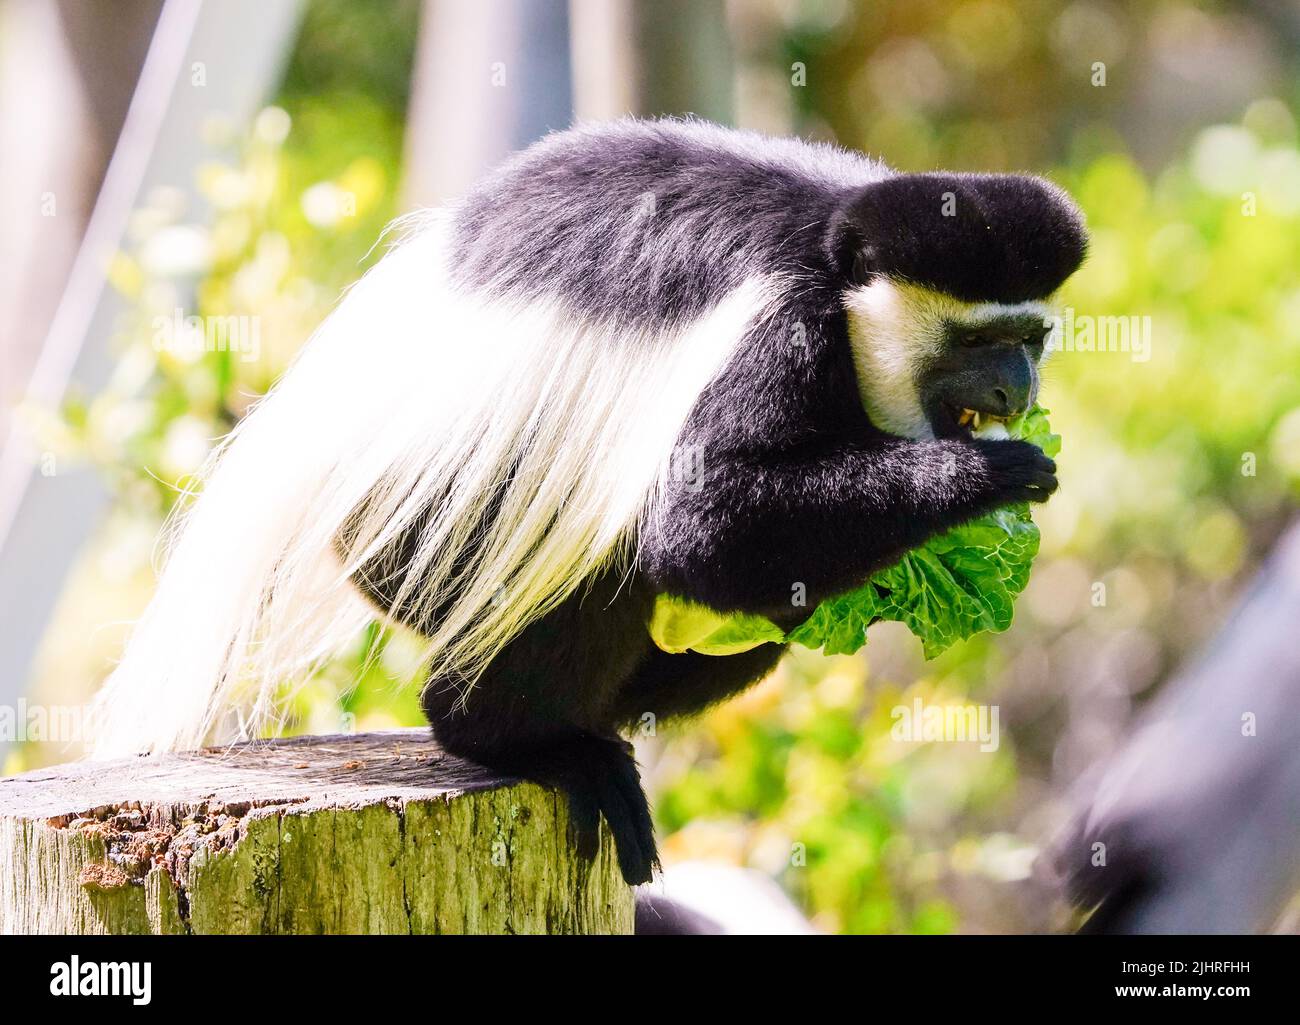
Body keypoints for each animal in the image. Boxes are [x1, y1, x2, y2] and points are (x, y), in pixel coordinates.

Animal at [94, 120, 1086, 884]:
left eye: (1031, 336)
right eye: (976, 340)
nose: (1016, 390)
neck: (844, 271)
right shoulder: (783, 321)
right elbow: (701, 525)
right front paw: (991, 478)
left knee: (755, 617)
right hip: (433, 520)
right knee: (601, 565)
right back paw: (526, 743)